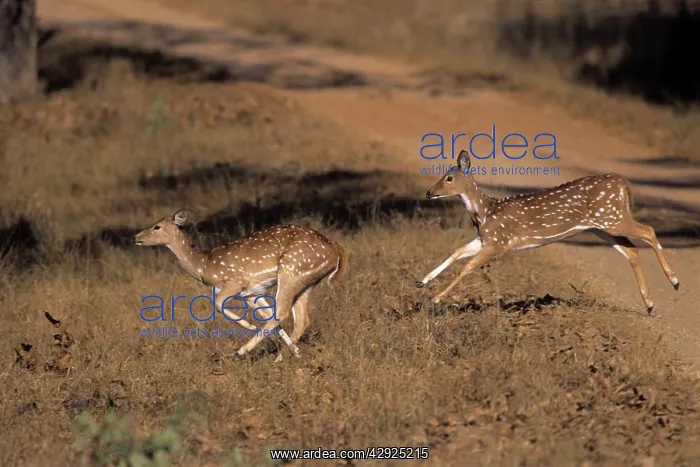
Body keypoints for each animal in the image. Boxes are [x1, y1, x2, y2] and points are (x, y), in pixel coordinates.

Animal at [133, 209, 347, 361]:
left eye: (157, 226)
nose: (136, 237)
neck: (204, 266)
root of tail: (336, 250)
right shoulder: (252, 293)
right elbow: (267, 316)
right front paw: (283, 344)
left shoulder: (235, 280)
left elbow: (218, 305)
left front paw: (250, 328)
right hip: (307, 281)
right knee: (301, 319)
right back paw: (288, 356)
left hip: (291, 270)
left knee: (283, 311)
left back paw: (246, 352)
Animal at [417, 149, 680, 315]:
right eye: (443, 175)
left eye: (449, 178)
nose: (428, 193)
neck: (485, 212)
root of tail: (623, 182)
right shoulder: (485, 239)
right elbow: (457, 251)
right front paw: (423, 280)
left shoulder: (500, 241)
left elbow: (467, 266)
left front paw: (436, 298)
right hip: (601, 227)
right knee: (632, 249)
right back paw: (649, 304)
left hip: (612, 217)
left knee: (648, 230)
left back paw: (674, 281)